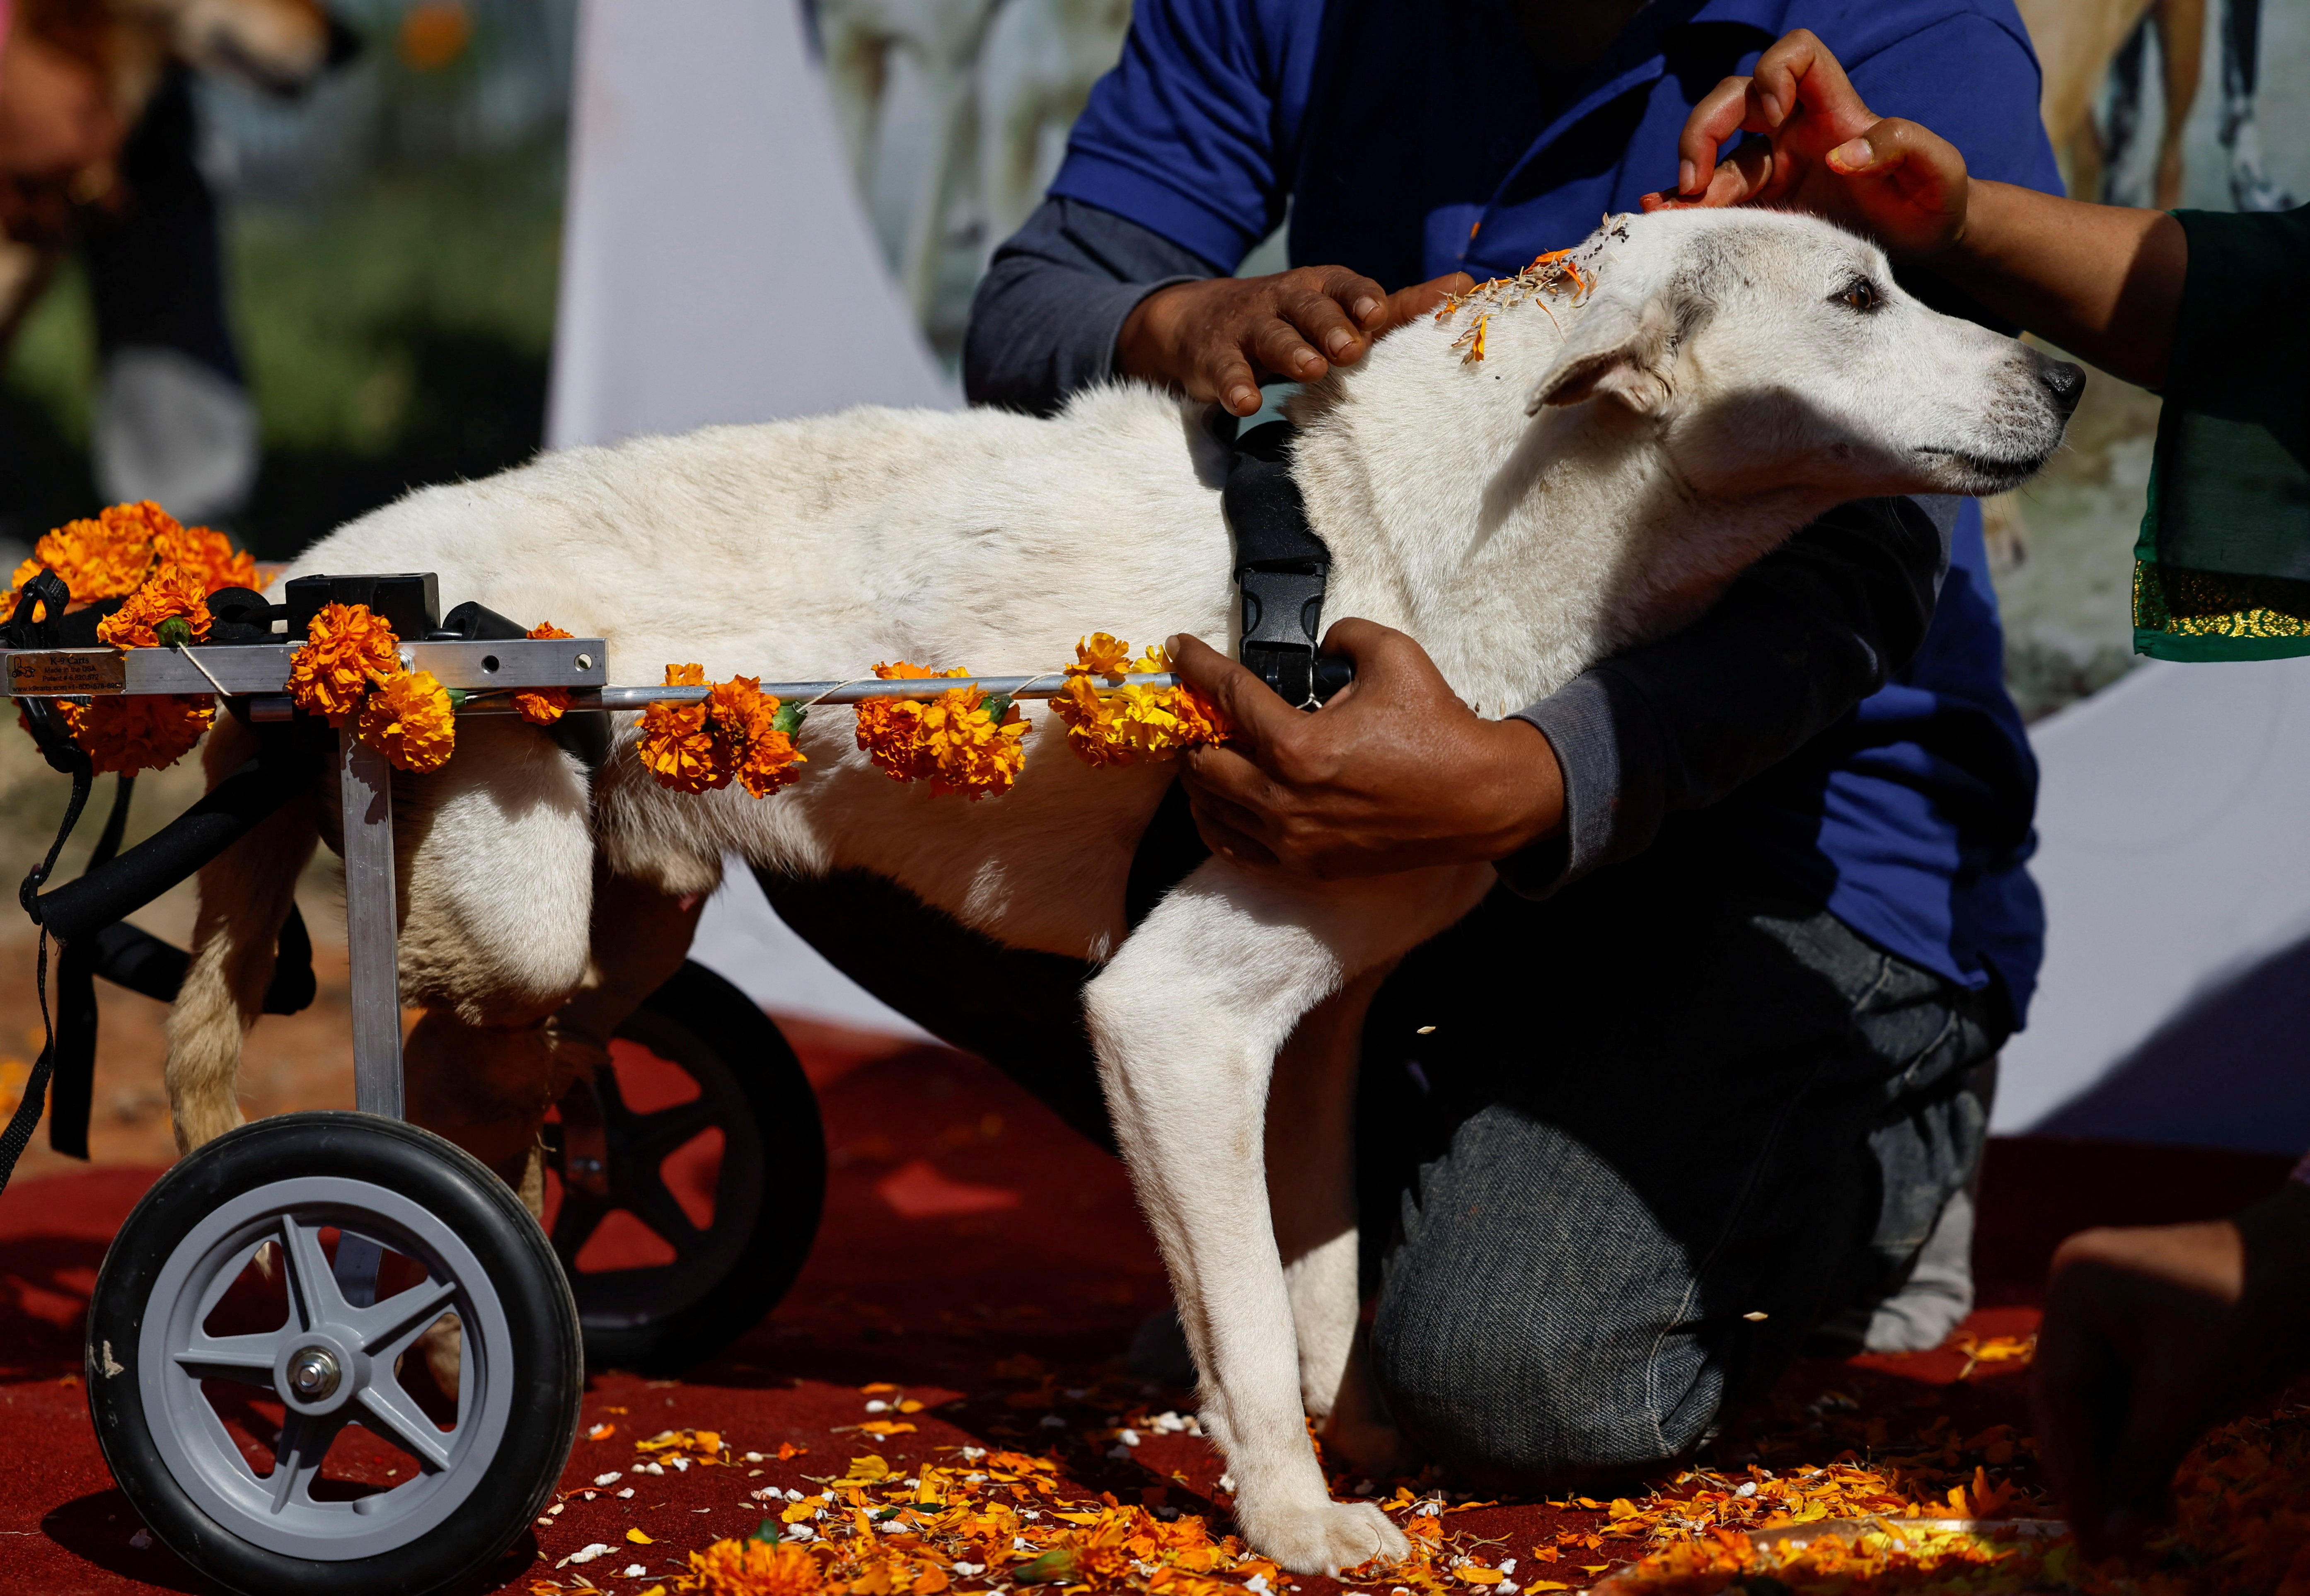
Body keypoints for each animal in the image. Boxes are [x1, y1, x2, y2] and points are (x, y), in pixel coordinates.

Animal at [163, 209, 2079, 1570]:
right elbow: (1243, 1312)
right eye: (1856, 298)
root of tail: (309, 590)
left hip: (619, 927)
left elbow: (1318, 1293)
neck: (1408, 540)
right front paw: (1295, 1520)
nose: (2067, 379)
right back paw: (394, 1349)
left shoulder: (1312, 1033)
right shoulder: (1166, 1018)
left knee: (522, 1098)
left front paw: (1350, 1448)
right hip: (517, 905)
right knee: (411, 1121)